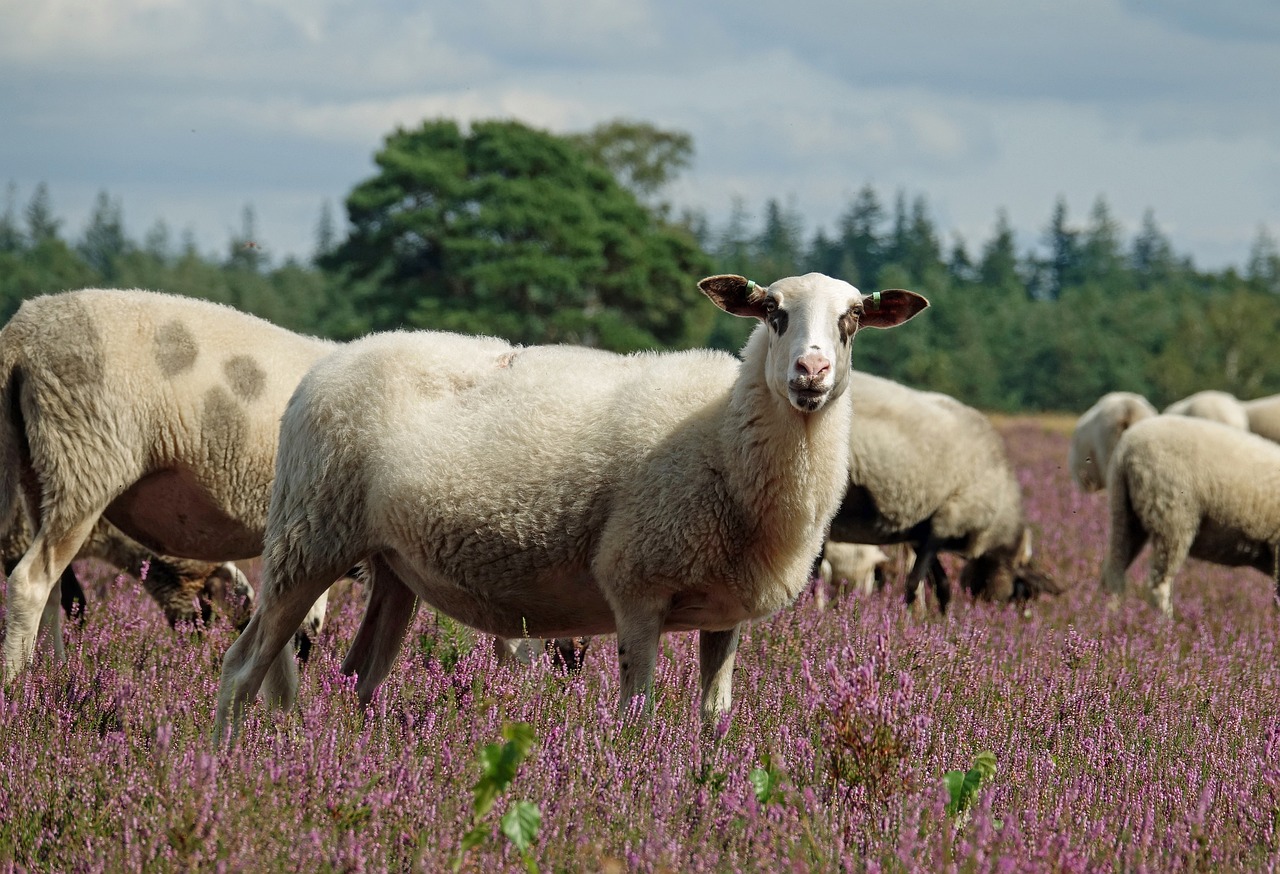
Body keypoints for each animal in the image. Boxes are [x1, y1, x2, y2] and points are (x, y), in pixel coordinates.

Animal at [0, 290, 340, 680]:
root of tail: (22, 333)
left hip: (39, 473)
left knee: (56, 590)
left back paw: (49, 677)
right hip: (85, 460)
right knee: (31, 583)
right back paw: (16, 682)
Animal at [212, 273, 931, 737]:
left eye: (852, 320)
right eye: (774, 313)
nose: (810, 373)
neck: (722, 434)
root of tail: (323, 367)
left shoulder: (726, 611)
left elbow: (714, 720)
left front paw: (704, 787)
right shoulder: (637, 587)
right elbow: (638, 718)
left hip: (389, 565)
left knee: (358, 679)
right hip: (308, 535)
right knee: (242, 668)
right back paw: (228, 767)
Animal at [824, 373, 1054, 611]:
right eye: (1022, 593)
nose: (1001, 615)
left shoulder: (921, 533)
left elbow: (941, 585)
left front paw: (940, 617)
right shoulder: (947, 521)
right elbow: (915, 582)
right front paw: (908, 617)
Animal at [1095, 414, 1280, 614]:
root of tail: (1126, 448)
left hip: (1123, 510)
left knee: (1114, 570)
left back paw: (1108, 614)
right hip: (1171, 516)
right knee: (1159, 584)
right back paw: (1163, 621)